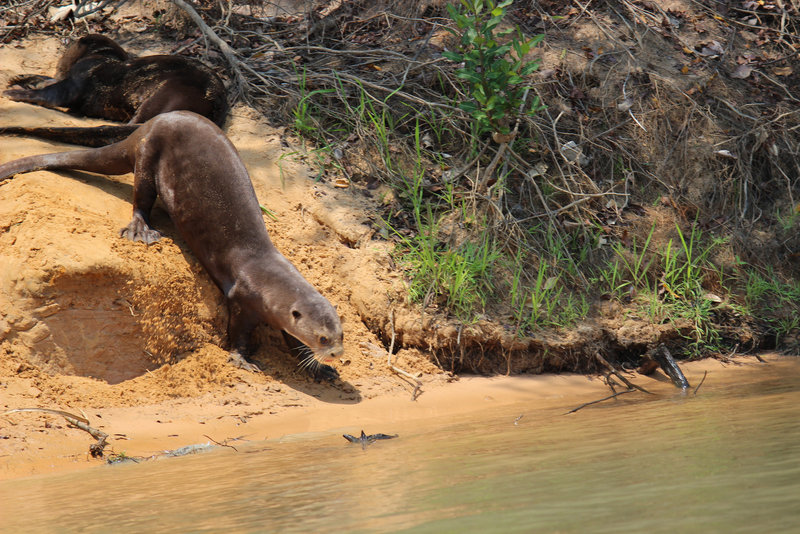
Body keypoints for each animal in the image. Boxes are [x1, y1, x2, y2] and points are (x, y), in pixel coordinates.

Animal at [3, 34, 228, 148]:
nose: (69, 39)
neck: (100, 57)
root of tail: (218, 103)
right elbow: (45, 80)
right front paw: (19, 78)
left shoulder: (78, 80)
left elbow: (50, 93)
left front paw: (14, 93)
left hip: (169, 94)